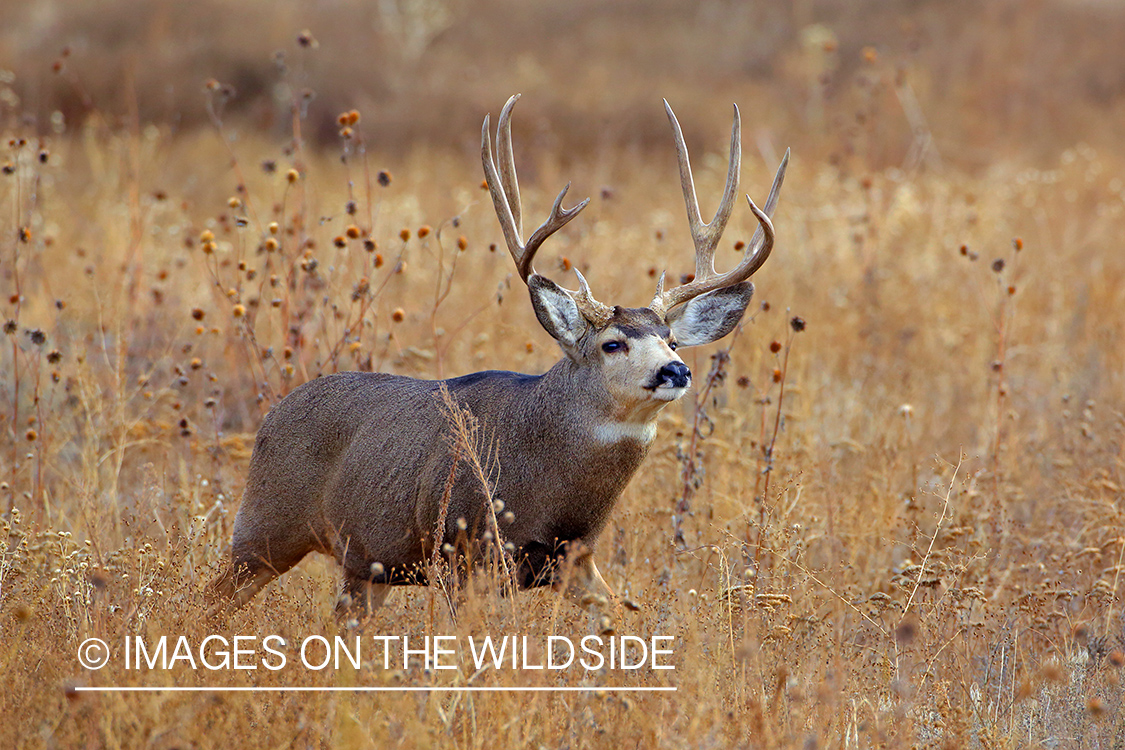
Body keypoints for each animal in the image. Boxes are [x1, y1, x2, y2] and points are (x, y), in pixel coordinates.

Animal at [207, 93, 787, 620]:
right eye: (613, 343)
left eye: (671, 338)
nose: (676, 369)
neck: (549, 485)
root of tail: (272, 414)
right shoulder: (462, 552)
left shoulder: (575, 559)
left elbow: (617, 619)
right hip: (265, 524)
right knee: (213, 596)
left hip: (366, 565)